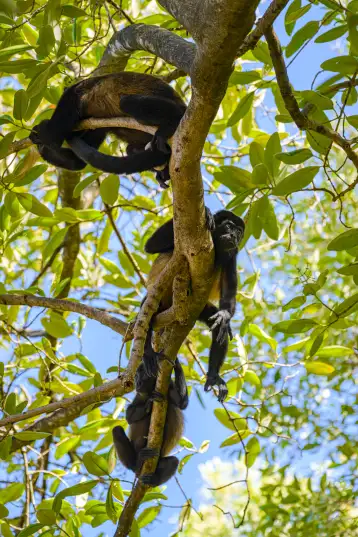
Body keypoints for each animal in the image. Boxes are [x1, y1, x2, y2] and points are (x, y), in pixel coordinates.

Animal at [29, 71, 186, 188]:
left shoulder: (72, 96)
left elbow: (52, 139)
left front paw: (40, 131)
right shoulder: (95, 127)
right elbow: (77, 161)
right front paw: (41, 146)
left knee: (127, 102)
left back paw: (170, 123)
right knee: (130, 149)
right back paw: (163, 172)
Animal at [112, 356, 189, 486]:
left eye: (141, 374)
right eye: (136, 376)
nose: (137, 382)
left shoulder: (169, 386)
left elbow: (182, 403)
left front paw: (177, 364)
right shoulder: (140, 394)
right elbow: (129, 416)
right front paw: (149, 403)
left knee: (174, 461)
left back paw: (153, 480)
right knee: (116, 430)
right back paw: (136, 464)